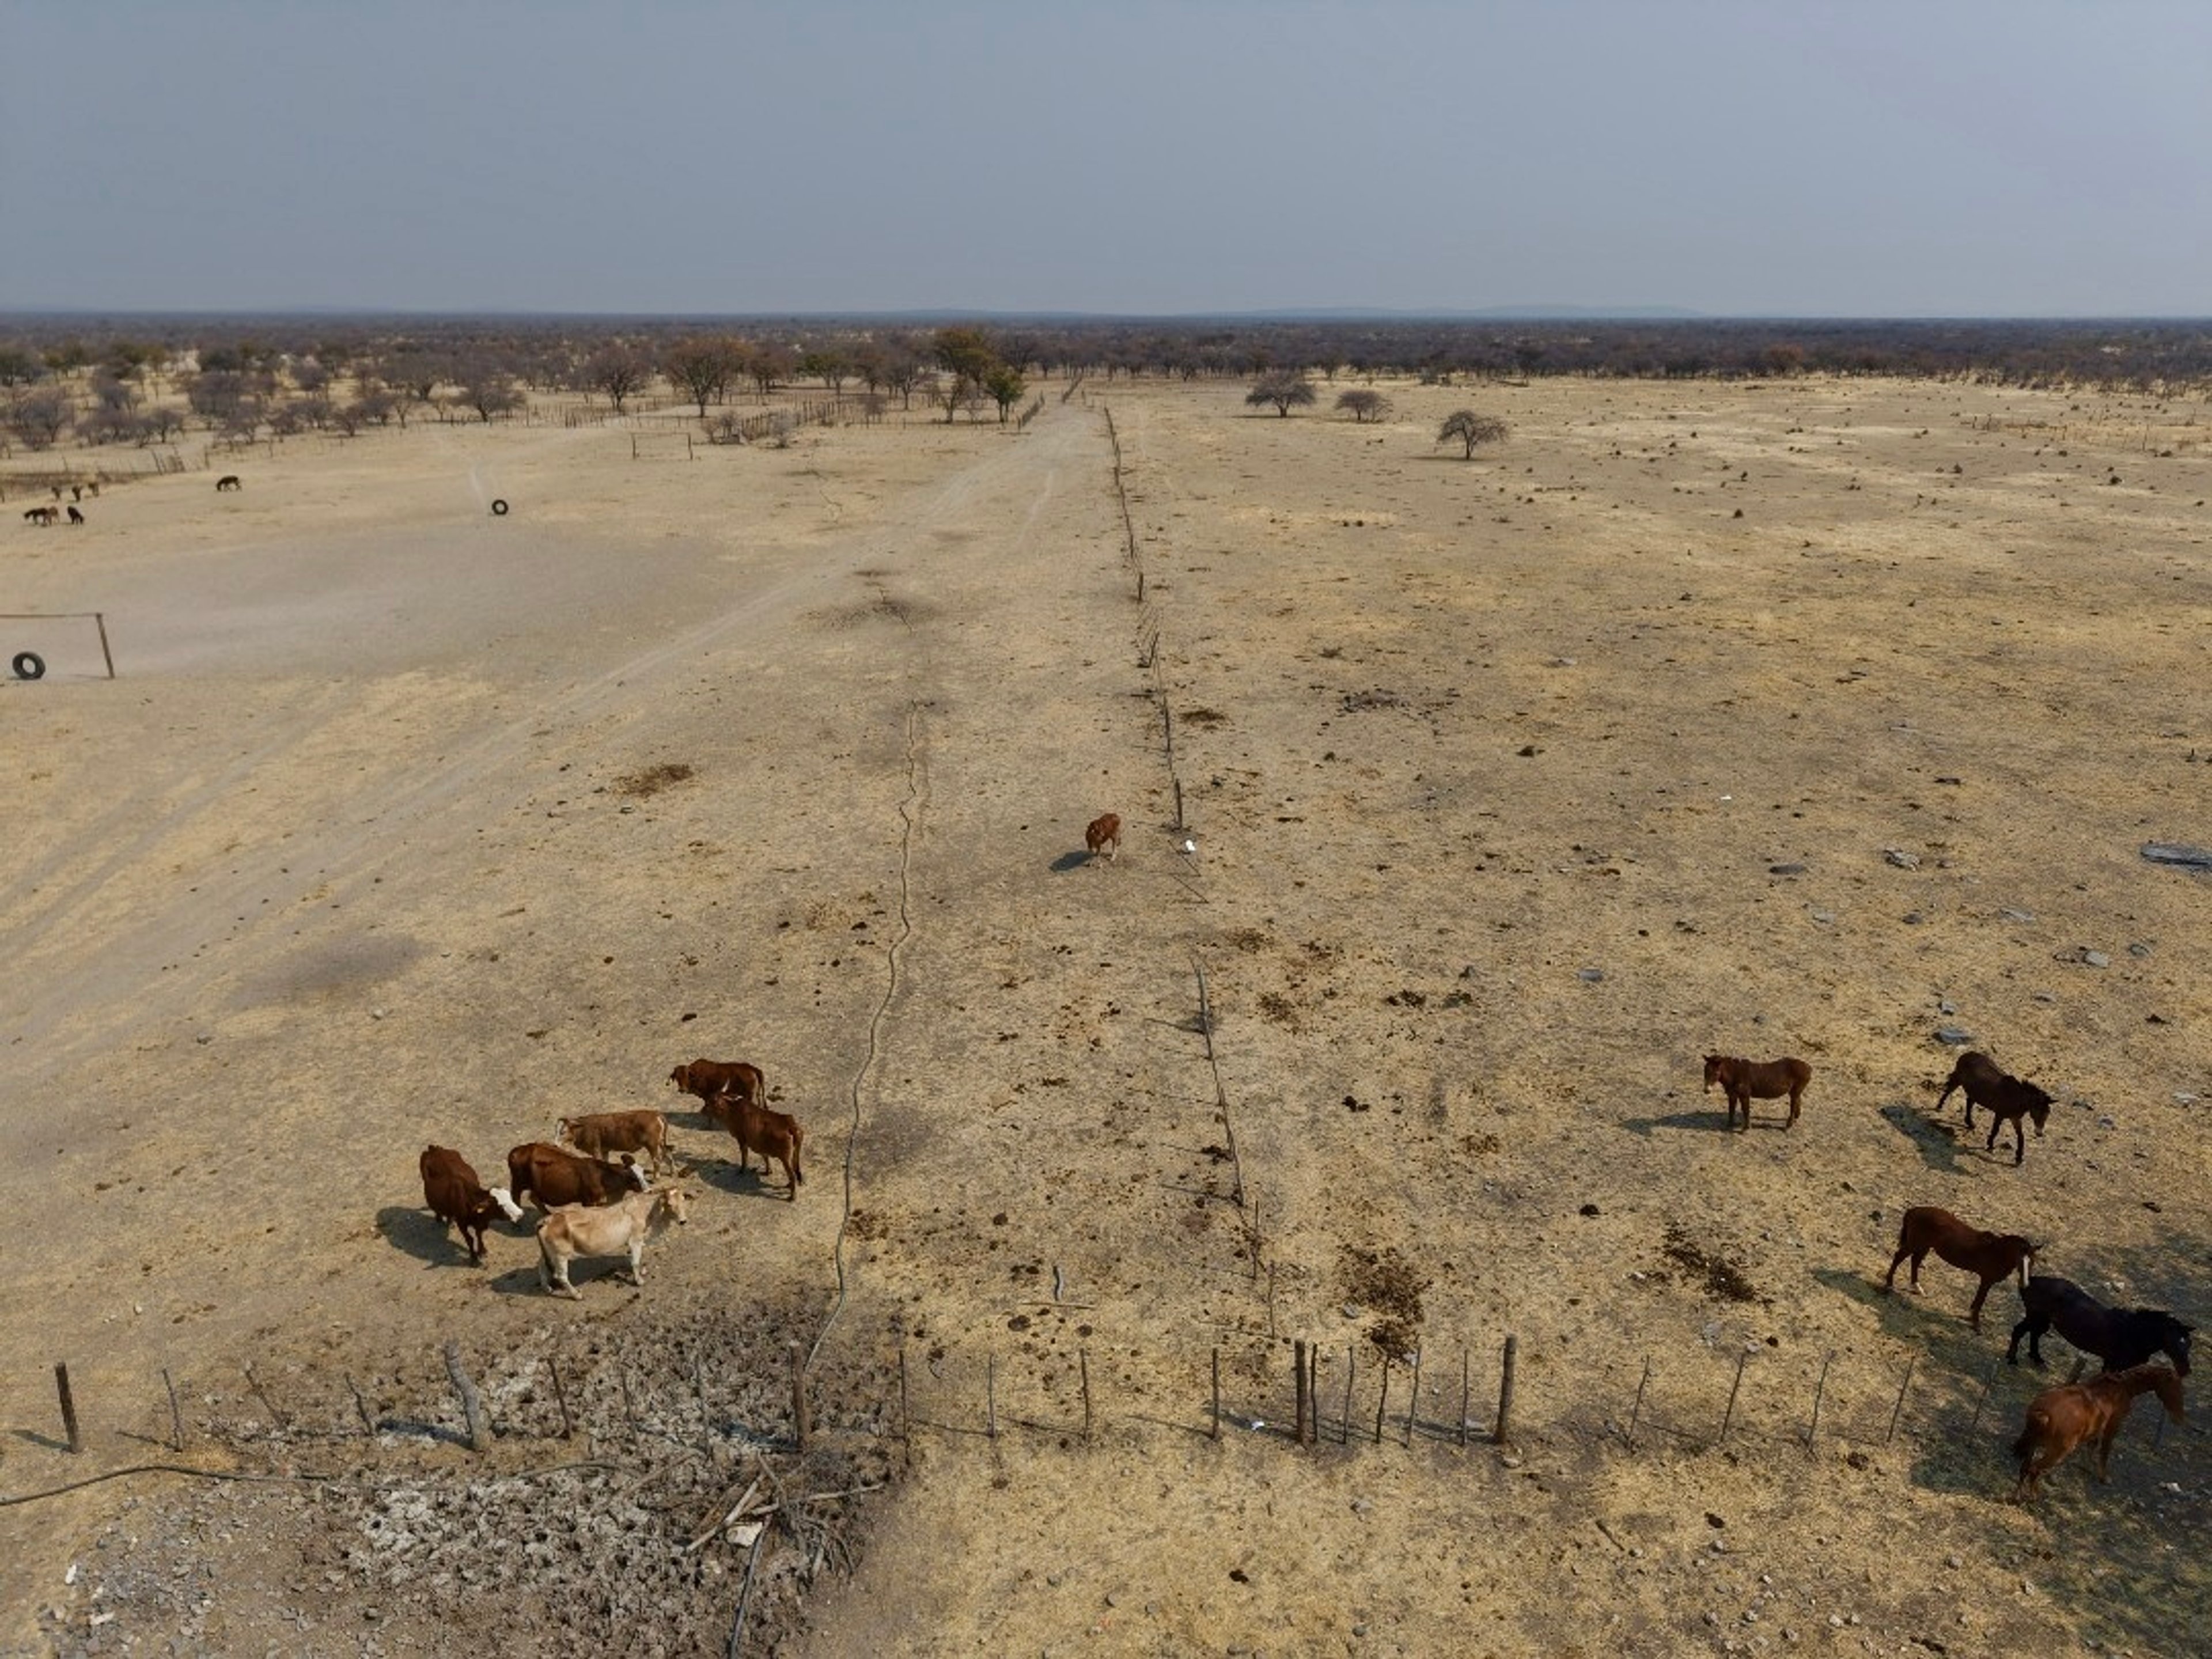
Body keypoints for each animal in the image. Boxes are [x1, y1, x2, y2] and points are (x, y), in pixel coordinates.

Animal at [418, 1145, 524, 1264]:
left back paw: (450, 1221)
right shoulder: (462, 1224)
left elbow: (479, 1234)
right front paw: (474, 1259)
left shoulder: (480, 1223)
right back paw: (439, 1218)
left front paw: (482, 1251)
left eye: (511, 1198)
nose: (520, 1213)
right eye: (501, 1206)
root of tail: (434, 1149)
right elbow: (470, 1239)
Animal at [505, 1141, 646, 1213]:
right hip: (518, 1182)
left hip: (537, 1188)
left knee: (534, 1199)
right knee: (516, 1198)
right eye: (634, 1179)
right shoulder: (589, 1202)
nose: (646, 1189)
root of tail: (517, 1151)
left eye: (643, 1173)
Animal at [538, 1184, 691, 1299]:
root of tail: (548, 1220)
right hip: (561, 1256)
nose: (683, 1221)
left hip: (550, 1254)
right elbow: (635, 1262)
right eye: (670, 1204)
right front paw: (639, 1281)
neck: (647, 1210)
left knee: (542, 1266)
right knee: (561, 1276)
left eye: (684, 1200)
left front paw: (642, 1271)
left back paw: (547, 1288)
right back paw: (577, 1295)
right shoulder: (635, 1240)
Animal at [556, 1109, 673, 1178]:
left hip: (652, 1145)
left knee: (657, 1160)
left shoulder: (596, 1150)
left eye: (563, 1132)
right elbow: (605, 1163)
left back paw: (656, 1177)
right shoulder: (604, 1150)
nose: (556, 1145)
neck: (583, 1128)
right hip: (661, 1143)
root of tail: (656, 1114)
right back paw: (672, 1173)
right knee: (668, 1156)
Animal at [704, 1089, 804, 1200]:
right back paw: (788, 1185)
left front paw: (742, 1171)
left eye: (712, 1101)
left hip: (785, 1158)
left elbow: (744, 1156)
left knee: (792, 1175)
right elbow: (765, 1157)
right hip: (794, 1155)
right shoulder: (761, 1146)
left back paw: (792, 1197)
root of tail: (791, 1125)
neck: (732, 1110)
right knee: (795, 1170)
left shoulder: (742, 1139)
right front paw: (768, 1171)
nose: (702, 1110)